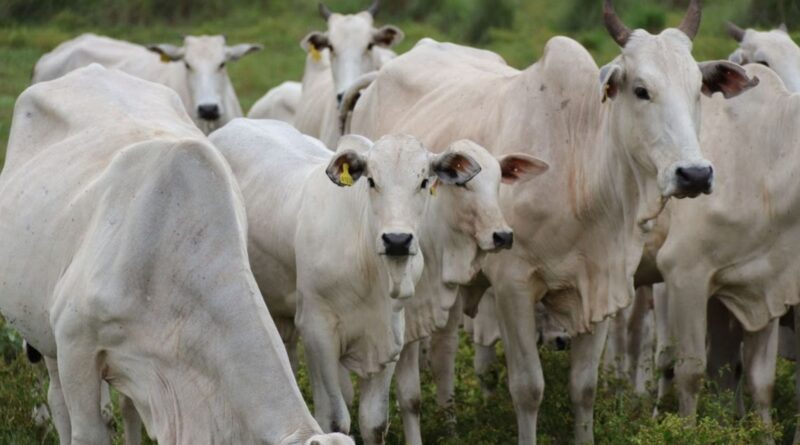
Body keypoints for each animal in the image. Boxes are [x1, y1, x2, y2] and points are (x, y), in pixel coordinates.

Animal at [209, 119, 484, 445]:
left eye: (424, 182)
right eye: (372, 181)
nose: (397, 240)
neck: (370, 271)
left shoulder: (391, 336)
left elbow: (374, 422)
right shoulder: (319, 332)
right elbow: (336, 419)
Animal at [348, 1, 758, 442]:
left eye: (697, 88)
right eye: (641, 90)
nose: (694, 174)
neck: (576, 169)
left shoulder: (601, 287)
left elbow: (585, 388)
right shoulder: (512, 286)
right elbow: (528, 388)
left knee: (442, 353)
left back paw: (452, 425)